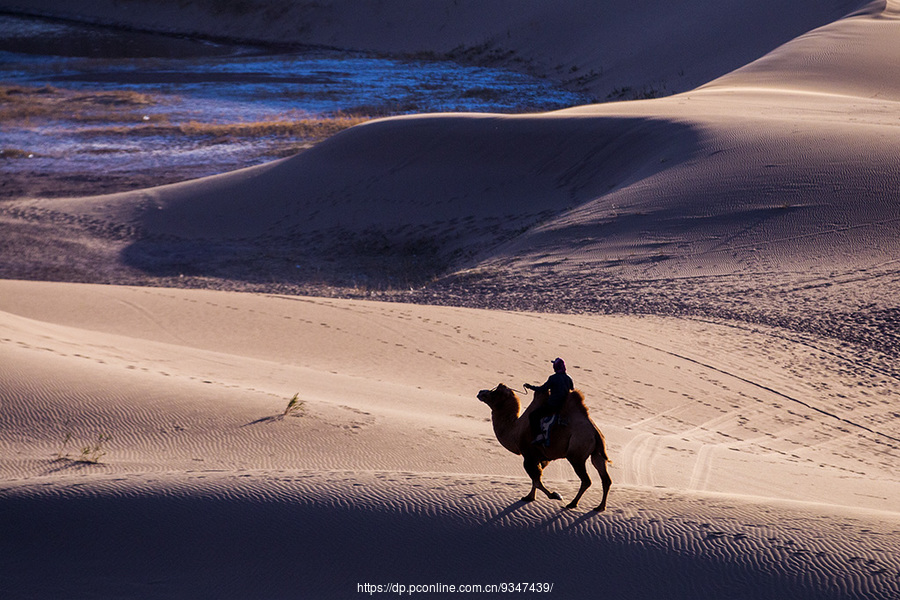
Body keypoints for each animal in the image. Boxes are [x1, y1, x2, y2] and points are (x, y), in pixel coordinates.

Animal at [478, 384, 612, 510]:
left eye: (495, 392)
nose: (480, 392)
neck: (515, 430)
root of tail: (595, 433)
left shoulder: (529, 455)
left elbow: (537, 480)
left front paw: (555, 495)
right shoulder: (541, 457)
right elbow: (536, 478)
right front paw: (529, 497)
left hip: (576, 454)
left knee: (586, 480)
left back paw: (572, 504)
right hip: (596, 453)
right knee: (605, 478)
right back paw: (600, 507)